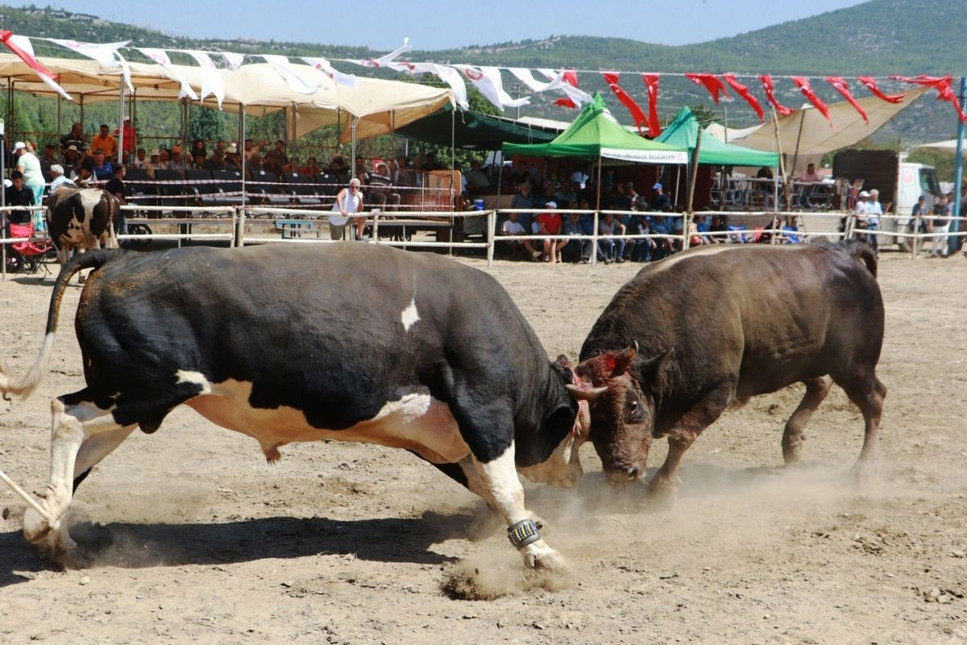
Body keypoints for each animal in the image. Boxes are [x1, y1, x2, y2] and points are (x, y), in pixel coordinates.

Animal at [0, 242, 592, 568]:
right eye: (575, 433)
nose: (576, 478)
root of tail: (120, 257)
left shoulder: (437, 436)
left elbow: (485, 485)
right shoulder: (483, 407)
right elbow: (507, 487)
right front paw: (540, 554)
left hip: (129, 398)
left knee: (80, 450)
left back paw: (55, 531)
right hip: (145, 391)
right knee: (65, 417)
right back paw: (44, 518)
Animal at [572, 242, 888, 498]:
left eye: (634, 405)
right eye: (591, 419)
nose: (621, 471)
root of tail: (845, 253)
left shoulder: (719, 389)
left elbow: (681, 436)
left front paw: (662, 488)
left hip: (855, 366)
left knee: (874, 399)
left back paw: (863, 471)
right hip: (806, 359)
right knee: (820, 384)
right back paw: (792, 445)